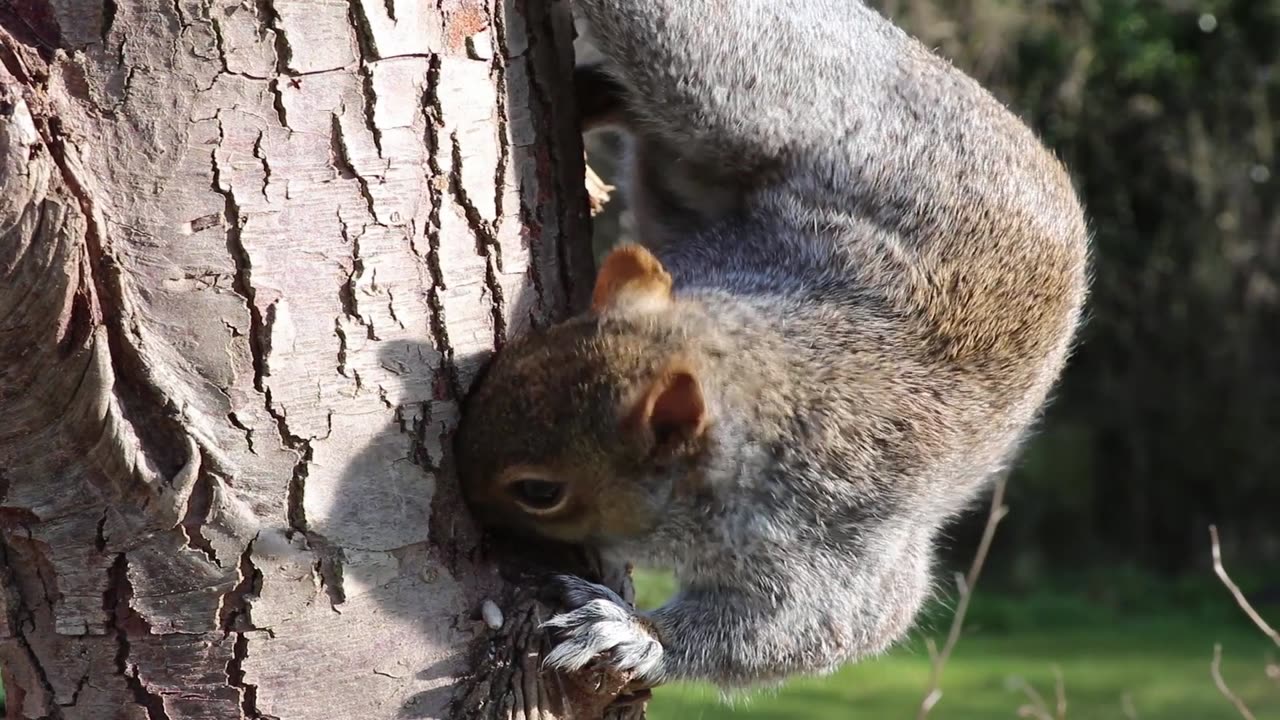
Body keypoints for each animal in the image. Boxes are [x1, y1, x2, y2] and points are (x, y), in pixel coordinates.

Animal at [455, 0, 1085, 686]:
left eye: (540, 492)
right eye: (520, 352)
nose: (458, 497)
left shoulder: (828, 543)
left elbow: (817, 627)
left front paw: (632, 634)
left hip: (744, 88)